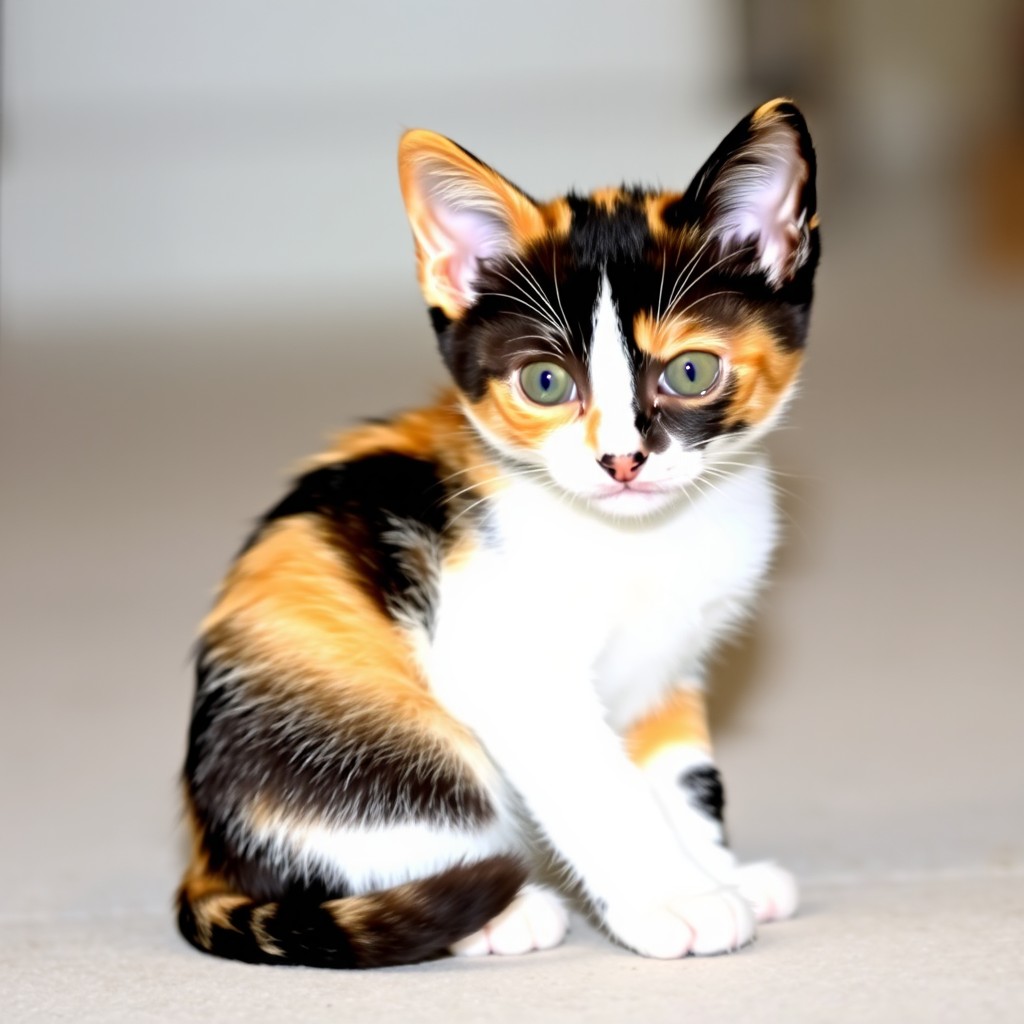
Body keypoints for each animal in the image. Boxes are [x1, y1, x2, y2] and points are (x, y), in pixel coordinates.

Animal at [174, 97, 815, 966]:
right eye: (545, 382)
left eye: (690, 371)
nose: (622, 460)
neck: (645, 537)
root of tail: (207, 853)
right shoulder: (502, 655)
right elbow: (601, 783)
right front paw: (679, 900)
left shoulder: (671, 662)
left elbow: (682, 774)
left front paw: (717, 872)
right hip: (380, 741)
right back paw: (496, 913)